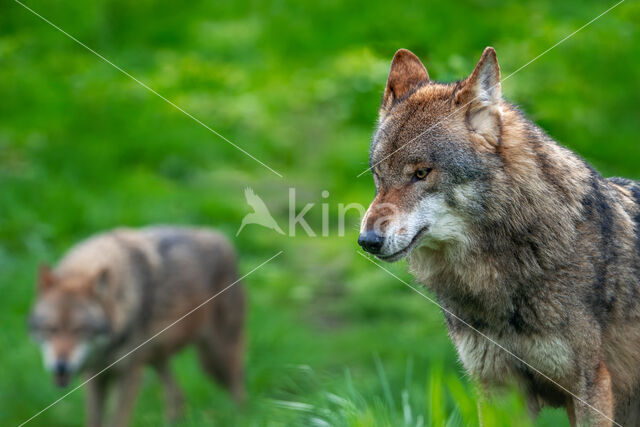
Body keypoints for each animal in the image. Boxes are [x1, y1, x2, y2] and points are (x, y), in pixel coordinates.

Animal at [28, 226, 246, 426]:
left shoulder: (129, 375)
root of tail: (222, 238)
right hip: (158, 360)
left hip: (217, 357)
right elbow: (94, 420)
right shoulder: (95, 376)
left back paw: (239, 417)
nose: (60, 366)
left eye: (81, 330)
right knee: (178, 395)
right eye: (50, 329)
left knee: (238, 389)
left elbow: (117, 420)